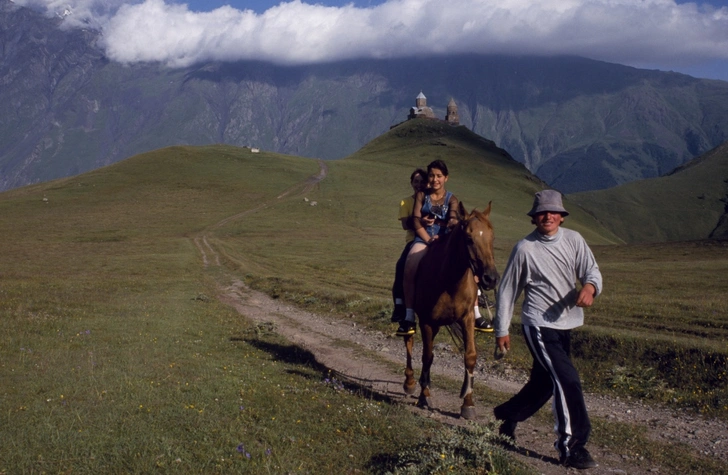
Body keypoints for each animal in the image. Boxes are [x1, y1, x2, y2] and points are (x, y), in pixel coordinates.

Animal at [400, 201, 498, 420]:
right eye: (469, 238)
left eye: (492, 237)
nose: (490, 278)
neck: (449, 280)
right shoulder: (427, 322)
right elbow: (427, 356)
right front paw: (425, 396)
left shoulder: (466, 318)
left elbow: (470, 356)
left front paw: (468, 403)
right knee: (409, 340)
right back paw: (410, 383)